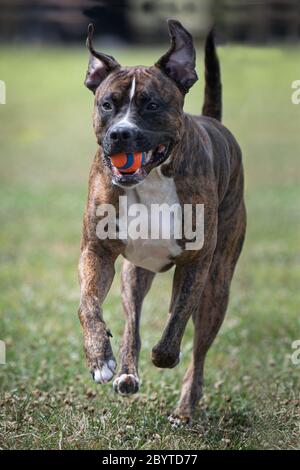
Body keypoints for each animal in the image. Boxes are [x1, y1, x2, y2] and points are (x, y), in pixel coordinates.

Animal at [79, 19, 246, 422]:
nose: (120, 133)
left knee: (197, 350)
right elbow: (89, 305)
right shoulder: (97, 253)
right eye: (107, 104)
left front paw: (165, 354)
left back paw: (185, 407)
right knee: (132, 325)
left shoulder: (197, 263)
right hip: (133, 274)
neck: (153, 177)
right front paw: (99, 359)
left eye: (152, 105)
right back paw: (126, 372)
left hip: (218, 285)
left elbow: (177, 320)